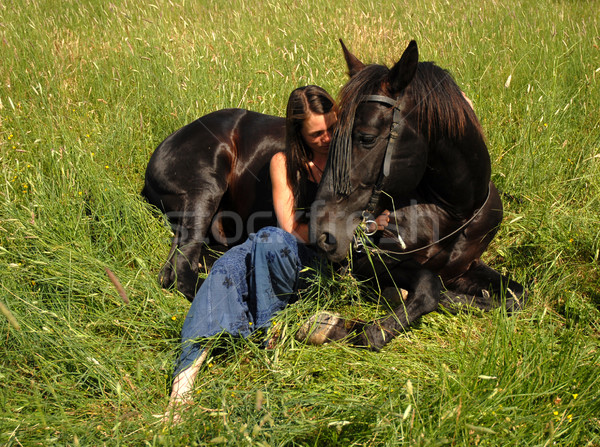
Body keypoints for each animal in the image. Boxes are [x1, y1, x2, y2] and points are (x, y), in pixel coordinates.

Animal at [300, 41, 524, 350]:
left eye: (367, 138)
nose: (322, 234)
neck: (455, 212)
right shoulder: (368, 263)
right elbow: (428, 288)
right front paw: (348, 328)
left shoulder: (466, 267)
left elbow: (516, 296)